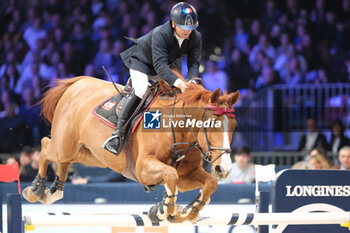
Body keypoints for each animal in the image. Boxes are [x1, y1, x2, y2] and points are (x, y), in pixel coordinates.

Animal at [22, 76, 241, 222]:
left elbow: (210, 183)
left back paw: (54, 191)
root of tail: (78, 83)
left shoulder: (187, 174)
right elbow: (170, 174)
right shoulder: (143, 169)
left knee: (64, 160)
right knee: (46, 146)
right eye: (211, 123)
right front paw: (163, 210)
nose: (224, 169)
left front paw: (187, 212)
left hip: (89, 155)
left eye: (234, 125)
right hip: (65, 145)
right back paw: (36, 189)